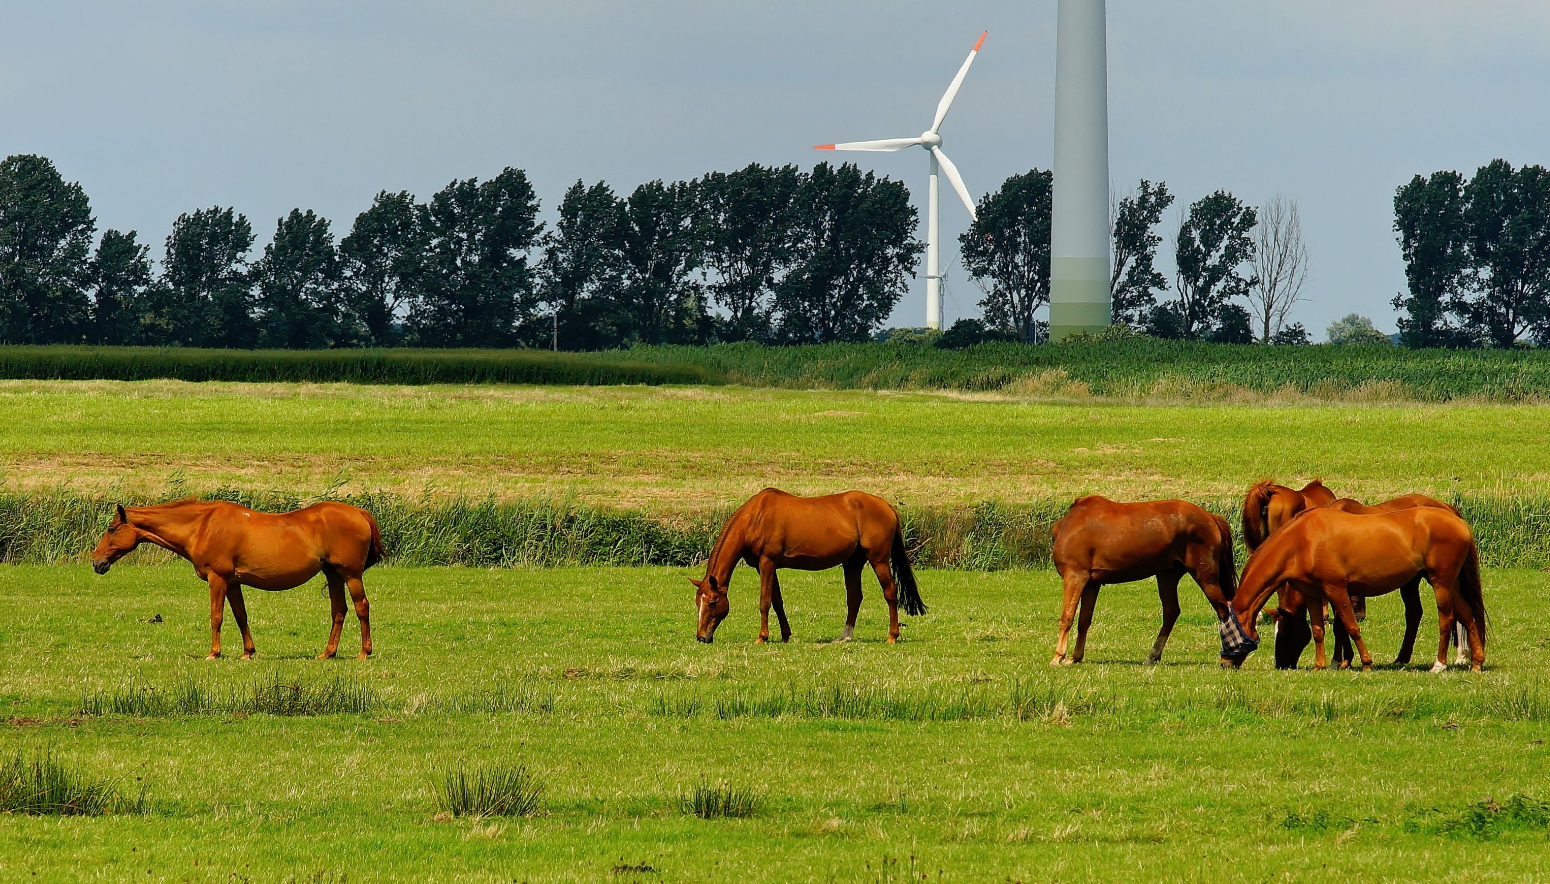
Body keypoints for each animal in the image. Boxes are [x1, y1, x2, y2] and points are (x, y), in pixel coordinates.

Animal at [92, 499, 385, 657]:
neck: (203, 526)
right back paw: (328, 652)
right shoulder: (233, 583)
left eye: (111, 529)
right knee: (339, 610)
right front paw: (248, 652)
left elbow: (217, 617)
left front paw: (214, 652)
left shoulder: (218, 579)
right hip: (333, 574)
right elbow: (240, 616)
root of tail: (359, 513)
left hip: (350, 575)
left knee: (361, 607)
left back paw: (364, 652)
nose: (96, 562)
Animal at [691, 490, 917, 638]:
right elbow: (777, 601)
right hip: (853, 562)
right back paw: (844, 637)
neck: (756, 518)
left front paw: (762, 637)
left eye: (713, 602)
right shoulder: (766, 566)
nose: (701, 637)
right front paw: (785, 635)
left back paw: (892, 636)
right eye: (697, 603)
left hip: (878, 559)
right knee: (855, 597)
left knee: (890, 592)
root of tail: (886, 506)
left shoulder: (767, 562)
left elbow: (765, 601)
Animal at [1047, 493, 1240, 663]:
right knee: (1171, 612)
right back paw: (1152, 656)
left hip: (1205, 577)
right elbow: (1084, 620)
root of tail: (1210, 517)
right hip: (1167, 576)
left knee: (1223, 610)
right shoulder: (1092, 584)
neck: (1072, 522)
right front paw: (1075, 657)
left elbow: (1067, 617)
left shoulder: (1075, 576)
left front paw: (1058, 656)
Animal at [1221, 505, 1488, 669]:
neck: (1302, 540)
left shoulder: (1336, 589)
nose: (1224, 663)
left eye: (1227, 635)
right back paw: (1476, 662)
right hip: (1449, 584)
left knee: (1447, 618)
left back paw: (1439, 665)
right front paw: (1320, 665)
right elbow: (1318, 630)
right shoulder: (1313, 594)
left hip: (1440, 583)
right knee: (1467, 615)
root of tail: (1459, 521)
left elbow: (1350, 626)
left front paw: (1365, 663)